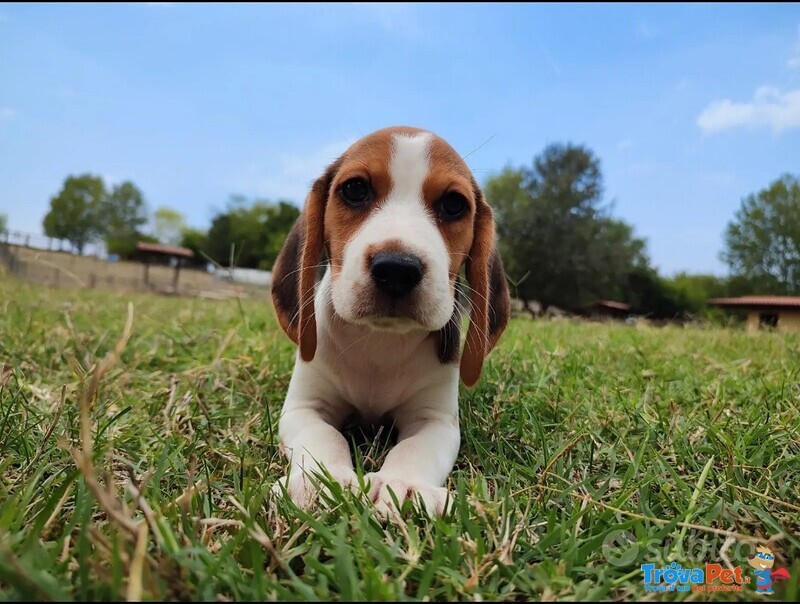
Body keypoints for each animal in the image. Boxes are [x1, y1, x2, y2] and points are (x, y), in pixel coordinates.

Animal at [272, 126, 510, 516]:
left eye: (453, 204)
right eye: (355, 190)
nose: (397, 269)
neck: (380, 342)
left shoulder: (434, 420)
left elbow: (412, 449)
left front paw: (403, 485)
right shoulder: (306, 408)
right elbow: (325, 436)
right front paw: (322, 482)